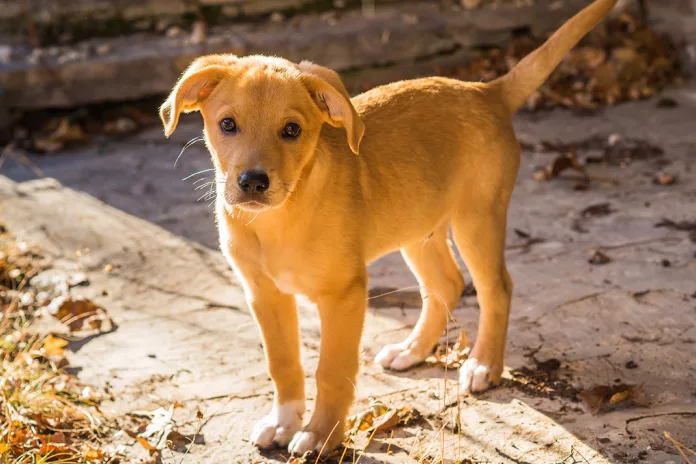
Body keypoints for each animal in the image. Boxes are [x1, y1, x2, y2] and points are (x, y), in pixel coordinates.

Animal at [162, 0, 620, 454]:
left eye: (291, 130)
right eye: (227, 125)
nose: (254, 183)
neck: (278, 220)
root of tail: (485, 91)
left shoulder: (345, 295)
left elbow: (332, 371)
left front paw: (320, 435)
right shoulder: (263, 294)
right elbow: (283, 364)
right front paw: (283, 422)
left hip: (477, 218)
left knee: (495, 288)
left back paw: (484, 365)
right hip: (419, 227)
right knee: (447, 284)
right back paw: (412, 350)